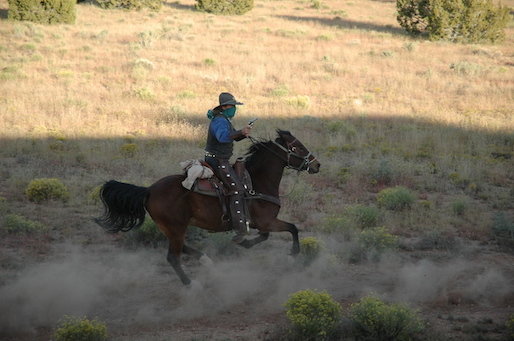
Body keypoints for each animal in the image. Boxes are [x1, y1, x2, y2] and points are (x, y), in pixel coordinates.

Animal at [95, 129, 320, 286]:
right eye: (299, 147)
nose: (317, 165)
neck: (257, 181)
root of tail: (149, 190)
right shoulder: (267, 221)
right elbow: (293, 228)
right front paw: (291, 256)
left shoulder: (261, 223)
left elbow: (266, 235)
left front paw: (245, 243)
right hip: (176, 227)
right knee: (173, 257)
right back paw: (191, 283)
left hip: (172, 228)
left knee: (181, 247)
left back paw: (206, 262)